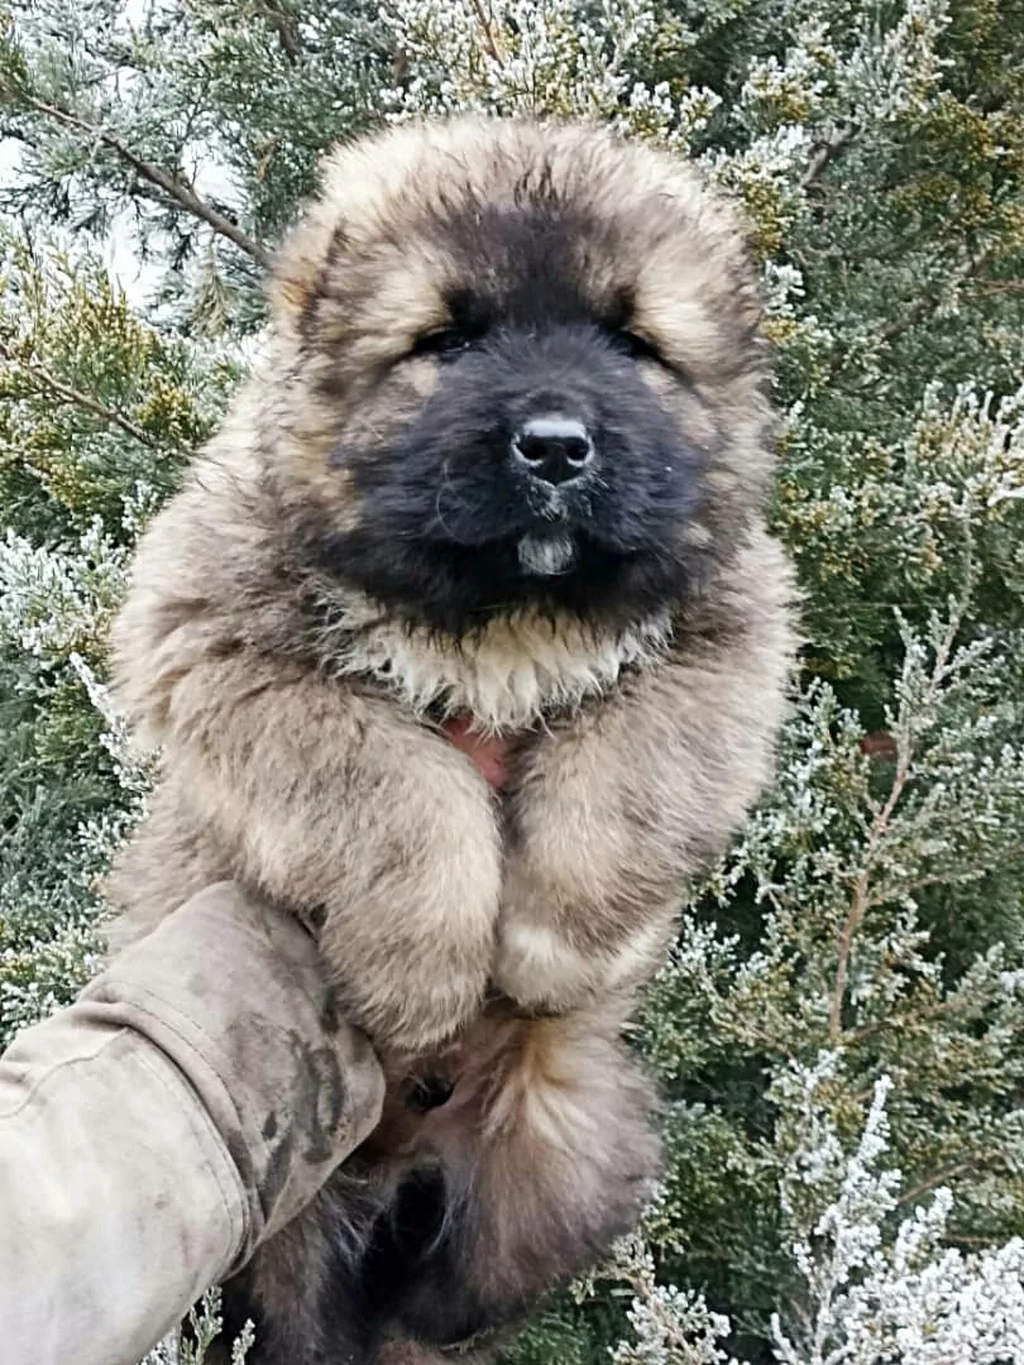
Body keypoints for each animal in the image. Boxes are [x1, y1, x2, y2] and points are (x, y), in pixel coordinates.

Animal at [110, 117, 802, 1365]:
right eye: (448, 338)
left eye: (631, 342)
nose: (556, 446)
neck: (506, 615)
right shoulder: (219, 642)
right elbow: (397, 779)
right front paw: (427, 969)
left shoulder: (726, 640)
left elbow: (627, 772)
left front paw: (553, 944)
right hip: (276, 1239)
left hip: (565, 1159)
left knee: (446, 1303)